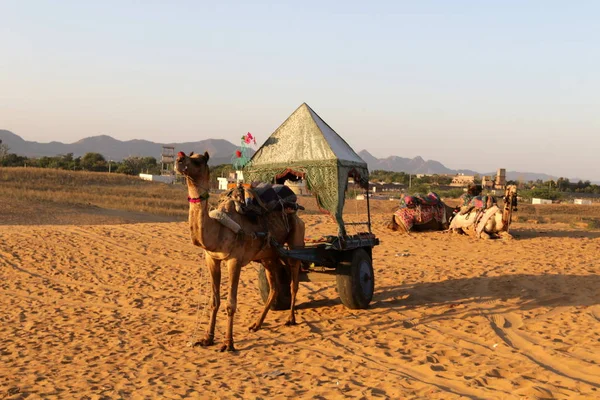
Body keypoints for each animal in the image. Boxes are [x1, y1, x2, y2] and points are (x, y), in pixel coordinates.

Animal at [173, 152, 304, 352]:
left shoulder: (234, 260)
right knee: (274, 287)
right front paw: (207, 338)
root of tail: (294, 209)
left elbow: (230, 304)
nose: (179, 160)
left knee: (294, 282)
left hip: (295, 240)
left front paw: (228, 343)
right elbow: (214, 301)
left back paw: (291, 318)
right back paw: (256, 324)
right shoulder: (212, 259)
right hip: (268, 256)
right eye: (187, 154)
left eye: (198, 160)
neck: (219, 229)